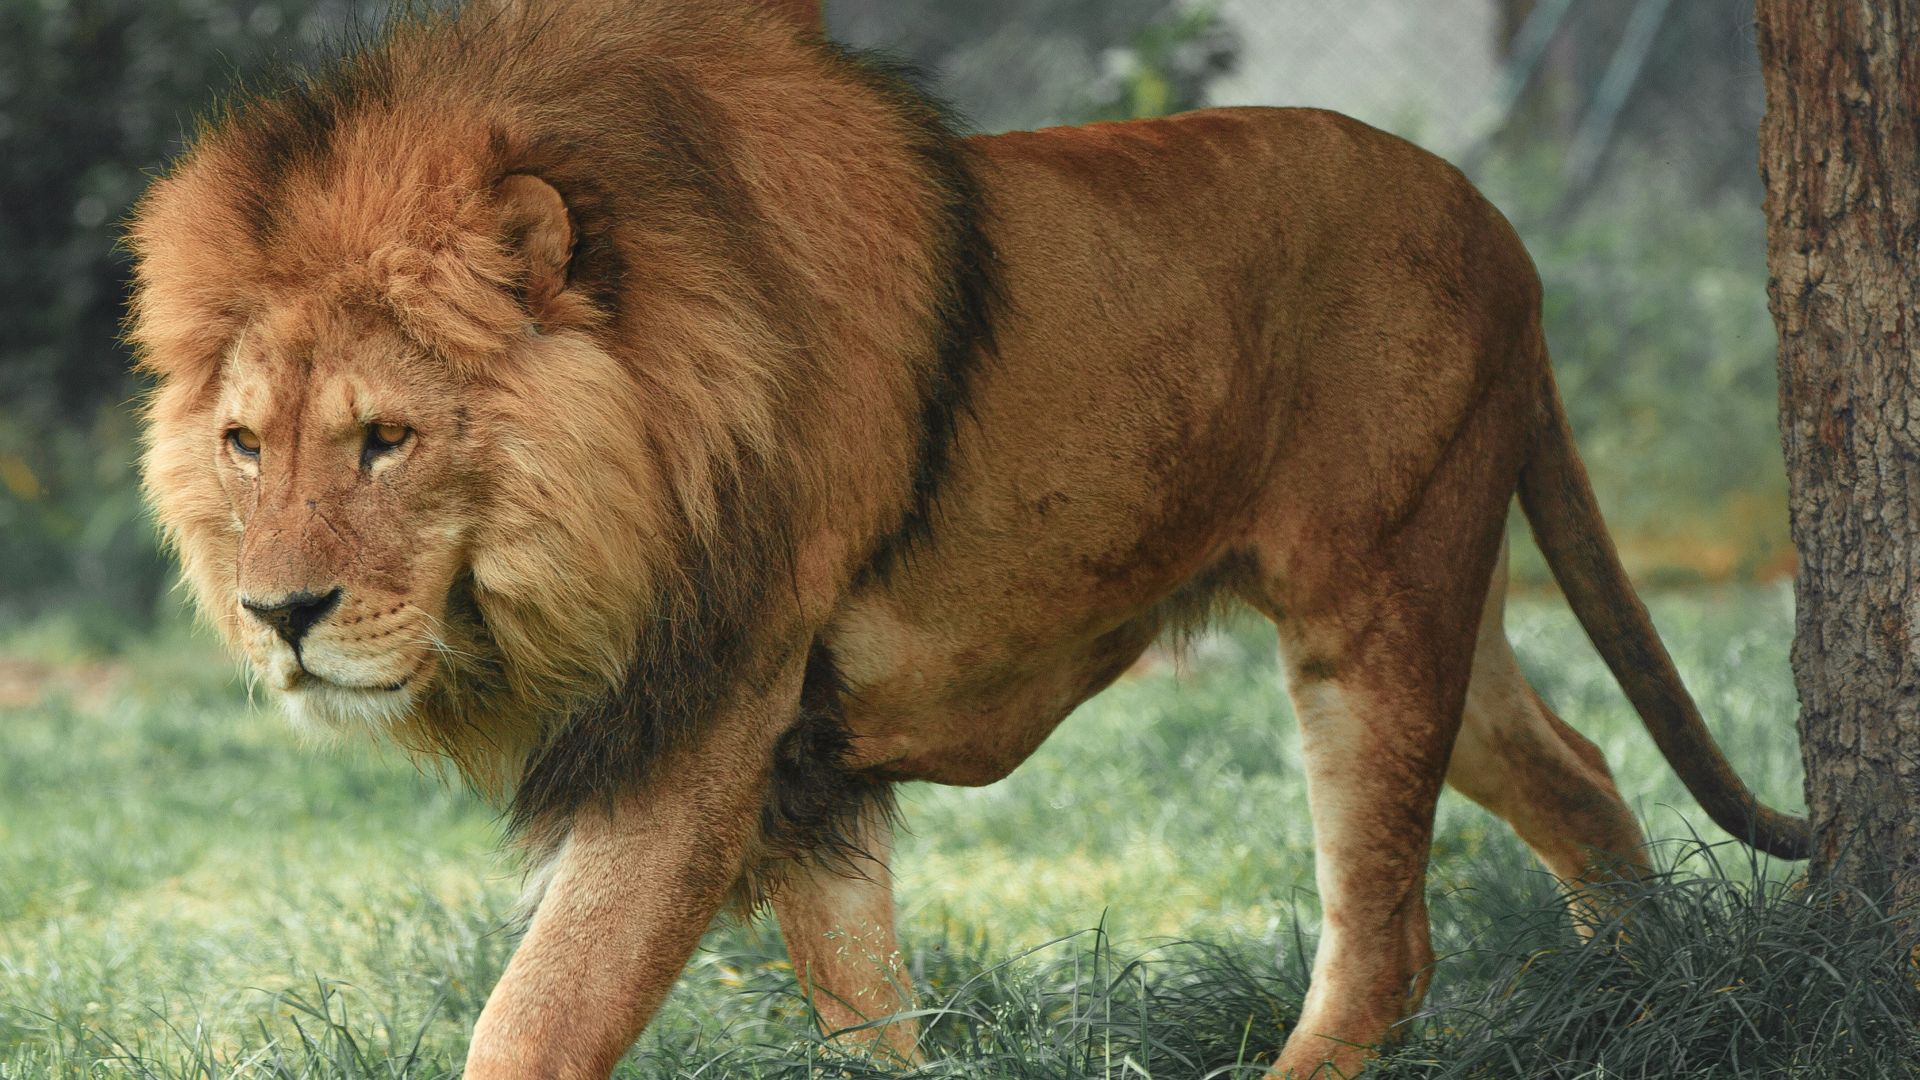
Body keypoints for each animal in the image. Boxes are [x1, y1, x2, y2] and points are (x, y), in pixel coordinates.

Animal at [126, 1, 1808, 1076]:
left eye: (387, 439)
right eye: (244, 444)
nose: (279, 615)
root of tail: (1499, 227)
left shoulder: (709, 723)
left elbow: (540, 1018)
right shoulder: (801, 767)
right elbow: (865, 1007)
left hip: (1375, 601)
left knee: (1390, 944)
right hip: (1432, 585)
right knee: (1575, 770)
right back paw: (1644, 999)